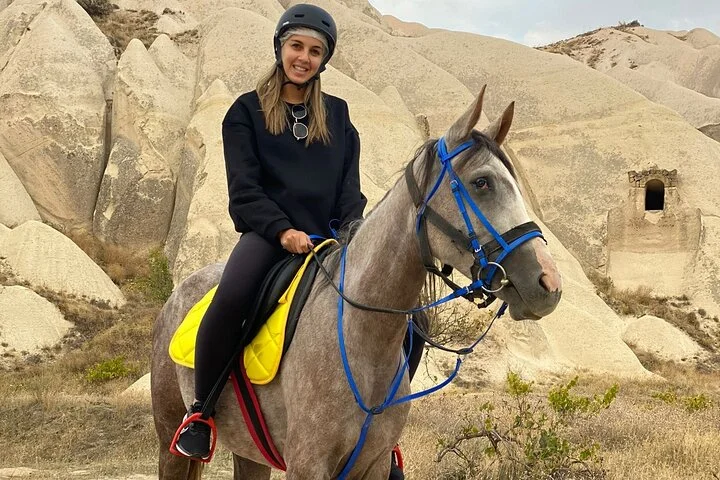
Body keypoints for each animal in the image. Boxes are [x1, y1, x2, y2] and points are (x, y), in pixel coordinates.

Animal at [151, 86, 562, 480]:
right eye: (482, 183)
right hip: (170, 439)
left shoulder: (373, 464)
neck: (360, 337)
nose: (549, 284)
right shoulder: (307, 465)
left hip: (249, 453)